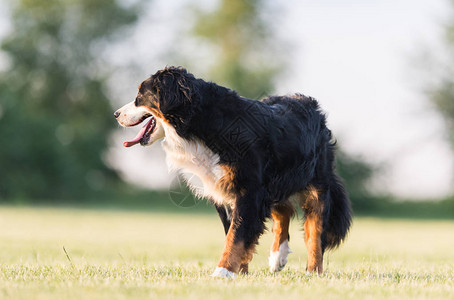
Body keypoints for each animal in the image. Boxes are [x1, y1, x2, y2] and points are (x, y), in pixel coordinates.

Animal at [113, 66, 352, 278]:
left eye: (140, 96)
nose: (116, 114)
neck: (202, 125)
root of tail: (310, 104)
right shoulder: (225, 192)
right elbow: (235, 232)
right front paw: (240, 271)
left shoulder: (249, 190)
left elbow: (236, 236)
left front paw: (223, 271)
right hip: (276, 183)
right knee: (283, 212)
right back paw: (278, 257)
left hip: (315, 186)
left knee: (315, 233)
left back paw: (313, 271)